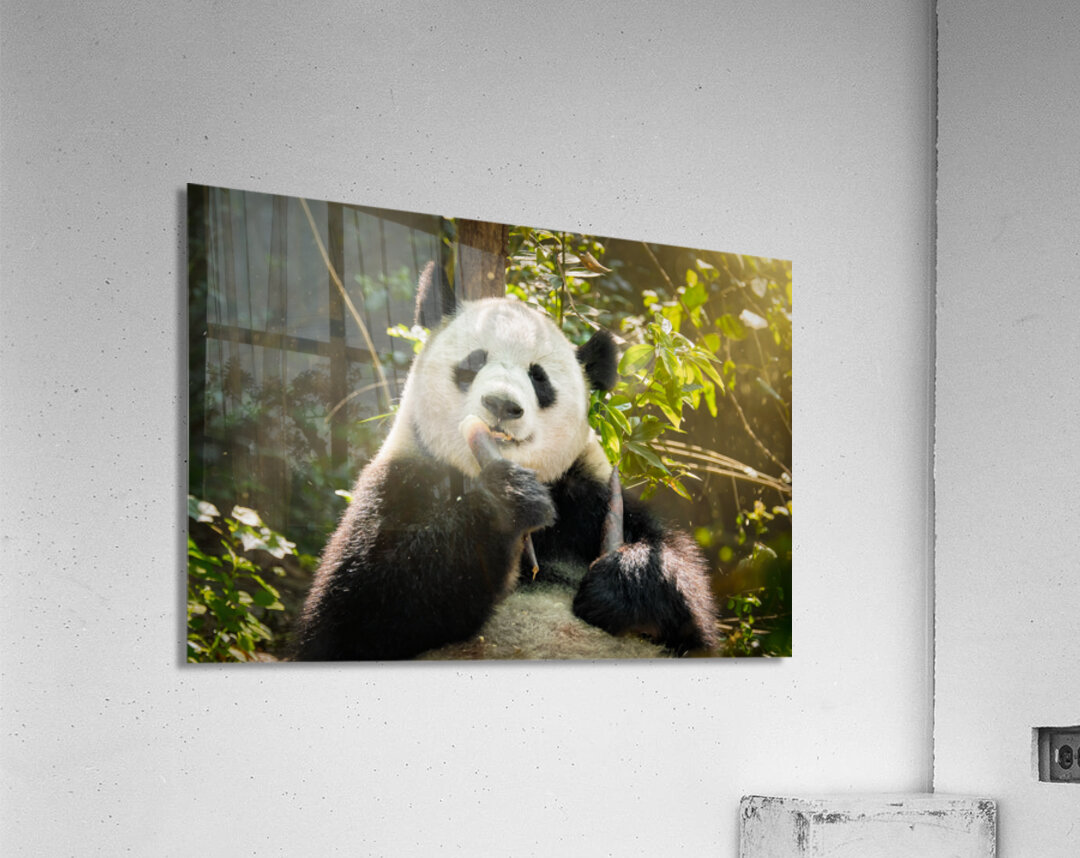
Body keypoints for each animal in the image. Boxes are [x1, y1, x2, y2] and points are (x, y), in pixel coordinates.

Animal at [292, 296, 718, 660]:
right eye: (474, 361)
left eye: (539, 377)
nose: (501, 405)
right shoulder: (401, 482)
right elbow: (354, 613)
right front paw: (508, 499)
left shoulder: (589, 493)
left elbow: (684, 588)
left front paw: (620, 584)